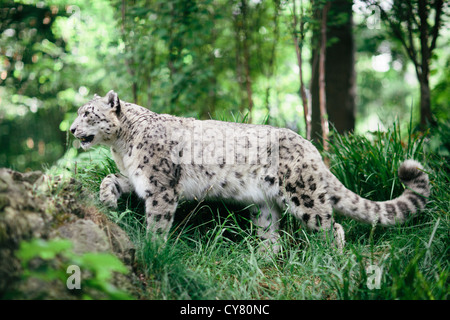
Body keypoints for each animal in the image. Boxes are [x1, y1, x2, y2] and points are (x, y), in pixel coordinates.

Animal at [69, 90, 428, 252]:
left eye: (88, 113)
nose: (72, 129)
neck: (121, 149)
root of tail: (311, 148)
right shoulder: (140, 178)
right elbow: (112, 177)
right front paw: (108, 198)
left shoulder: (160, 186)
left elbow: (157, 220)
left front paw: (153, 247)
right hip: (265, 209)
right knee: (273, 235)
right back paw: (264, 258)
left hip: (304, 196)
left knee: (332, 226)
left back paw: (331, 257)